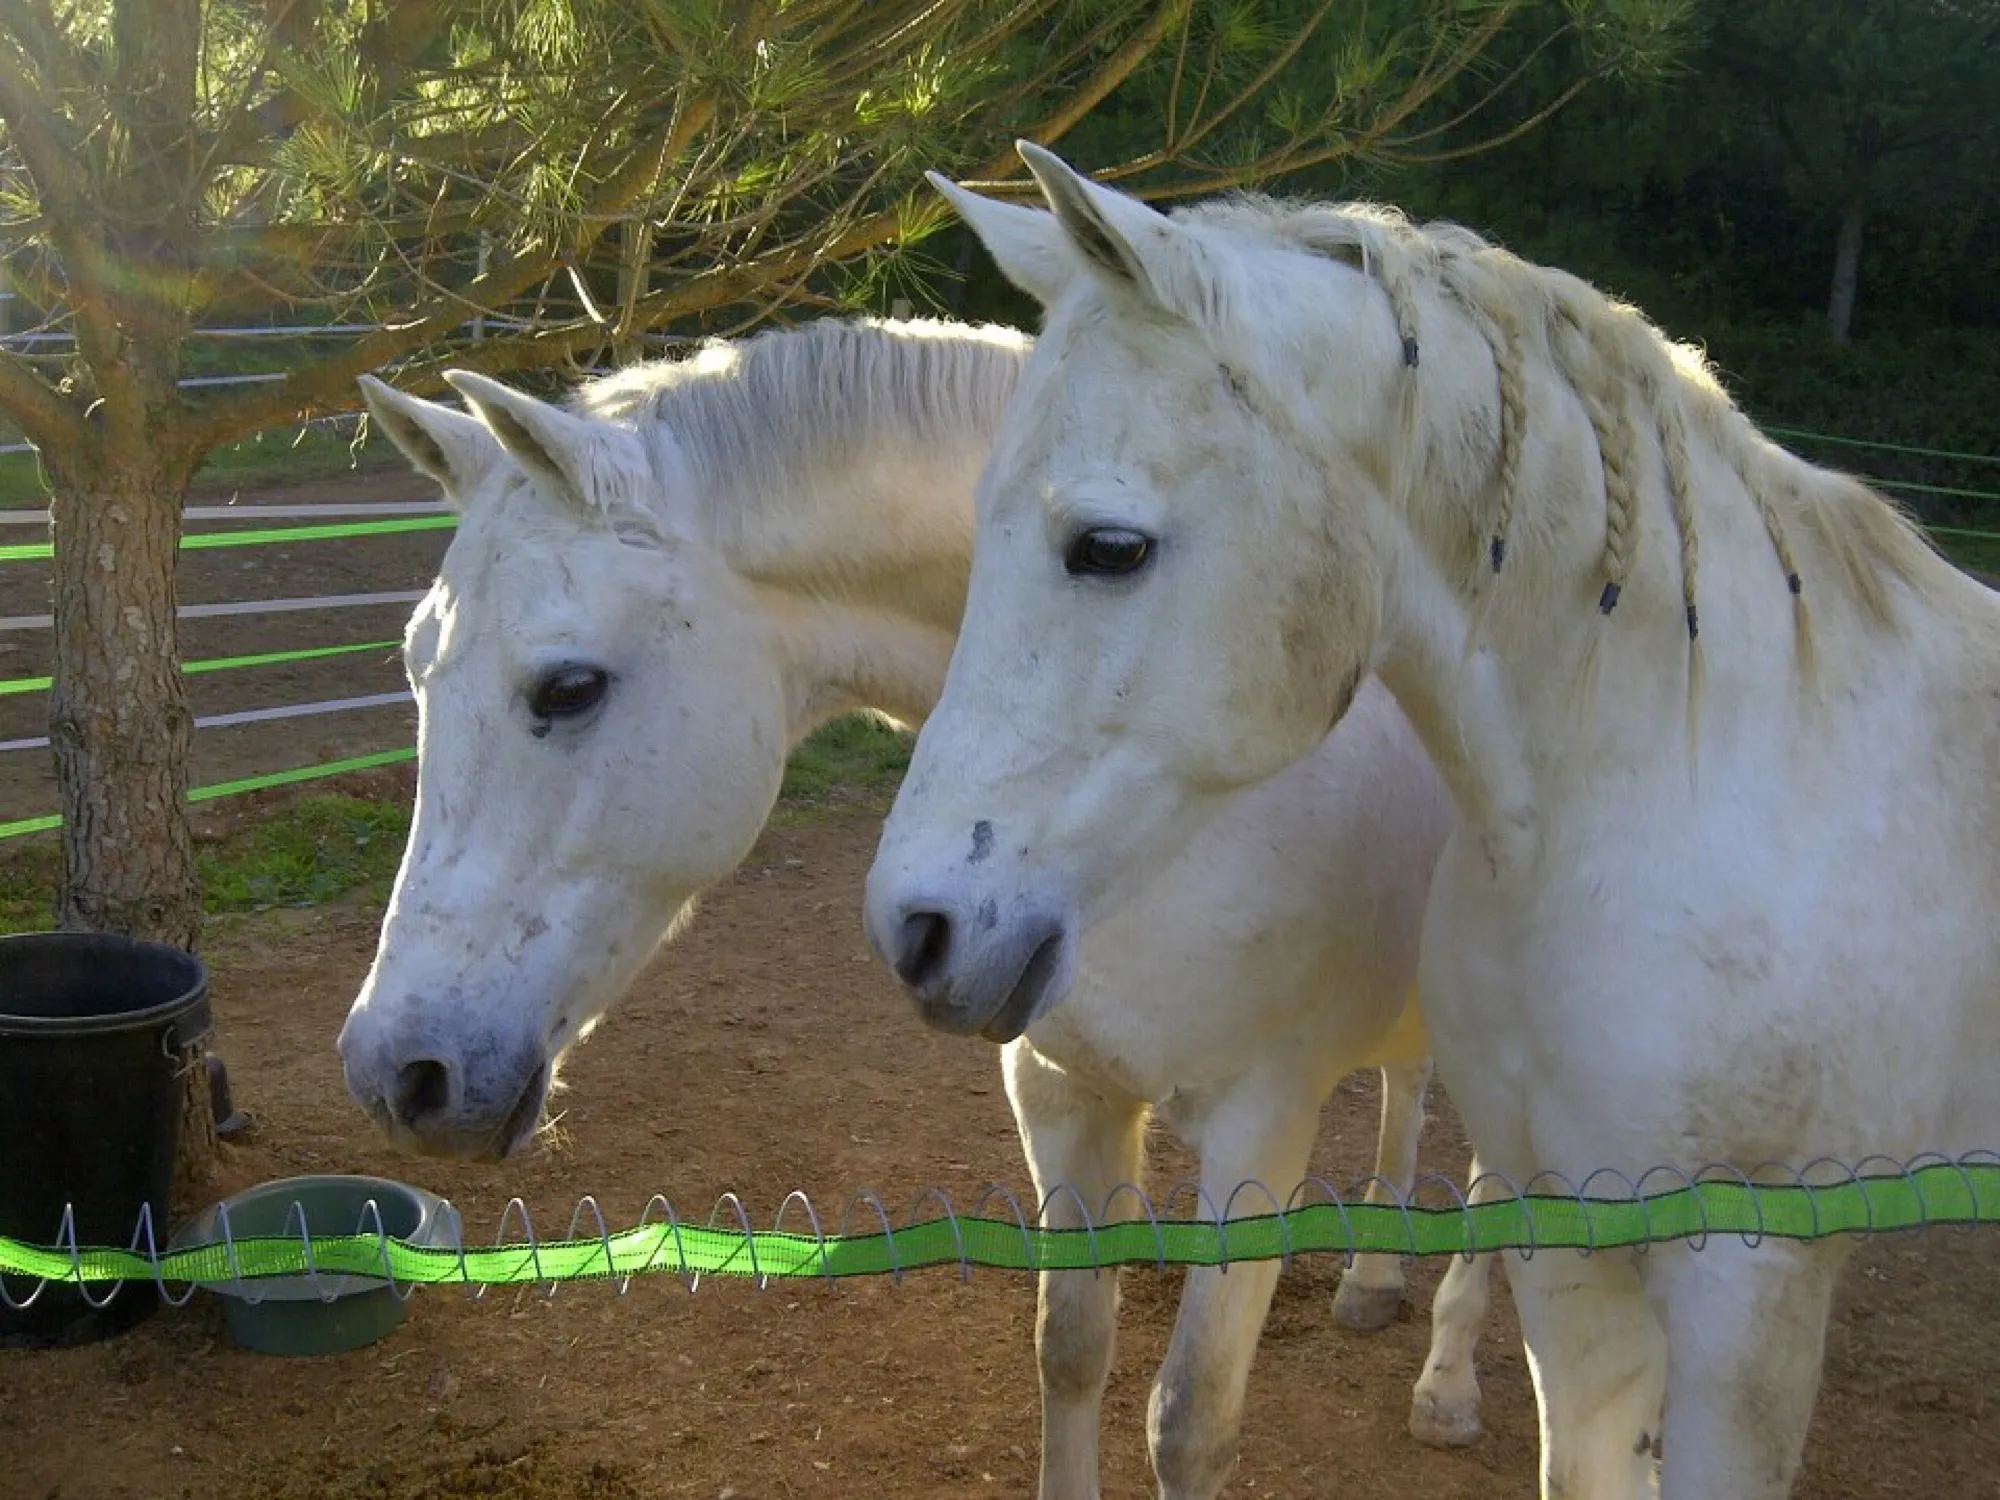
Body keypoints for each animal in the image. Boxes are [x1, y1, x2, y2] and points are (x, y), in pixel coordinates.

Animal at [332, 315, 1499, 1498]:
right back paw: (1371, 1280)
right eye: (416, 669)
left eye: (568, 688)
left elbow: (1189, 1423)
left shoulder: (1259, 1131)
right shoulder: (1059, 1090)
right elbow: (1070, 1347)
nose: (398, 1072)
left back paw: (1448, 1383)